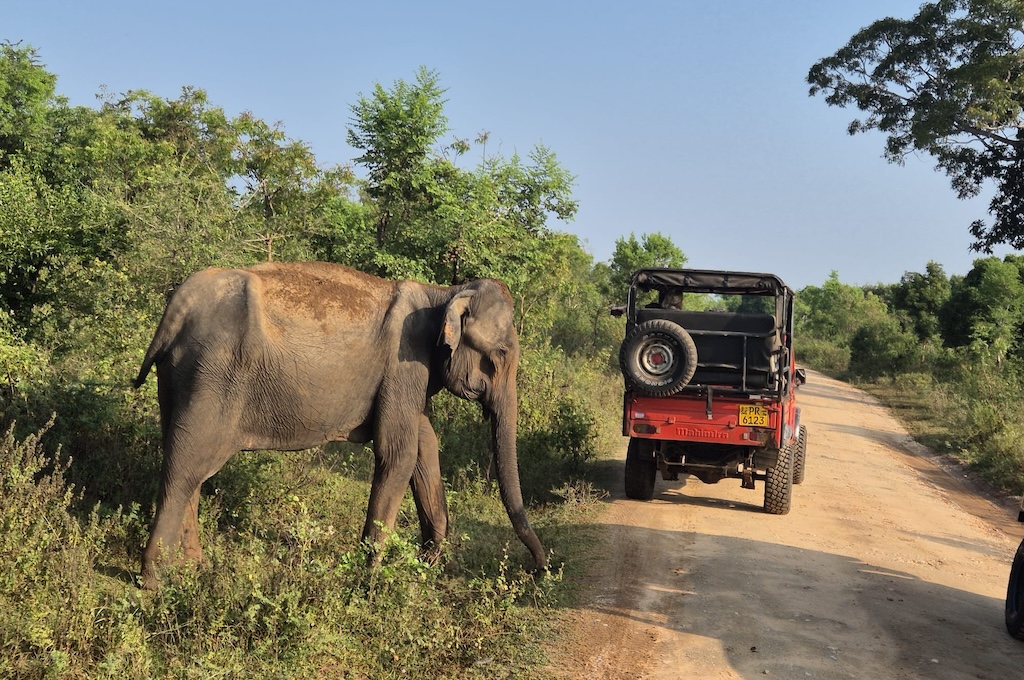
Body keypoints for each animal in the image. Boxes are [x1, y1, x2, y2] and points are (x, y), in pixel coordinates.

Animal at [137, 260, 552, 589]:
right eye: (499, 355)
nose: (539, 570)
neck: (444, 294)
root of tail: (177, 308)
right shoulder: (404, 362)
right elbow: (398, 454)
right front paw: (368, 581)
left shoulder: (410, 375)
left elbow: (425, 445)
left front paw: (426, 568)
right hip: (214, 373)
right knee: (187, 466)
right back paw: (156, 582)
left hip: (178, 375)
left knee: (186, 459)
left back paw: (193, 568)